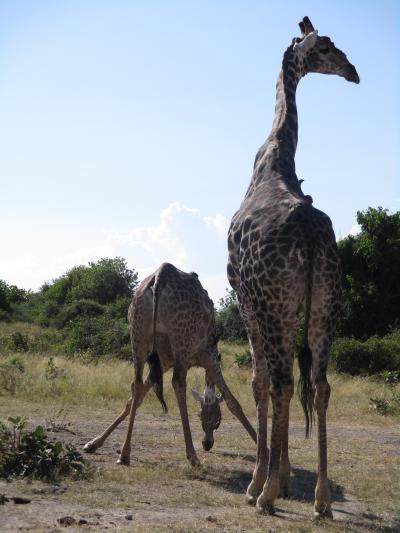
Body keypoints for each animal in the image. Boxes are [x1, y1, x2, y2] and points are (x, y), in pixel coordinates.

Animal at [84, 262, 256, 466]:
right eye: (217, 419)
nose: (207, 444)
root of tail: (160, 276)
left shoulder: (164, 363)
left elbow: (135, 399)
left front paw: (94, 443)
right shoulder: (208, 356)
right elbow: (233, 402)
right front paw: (264, 447)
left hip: (138, 336)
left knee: (137, 384)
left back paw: (125, 454)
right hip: (180, 341)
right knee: (178, 383)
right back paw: (193, 457)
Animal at [227, 16, 360, 516]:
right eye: (325, 45)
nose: (353, 71)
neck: (275, 158)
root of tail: (312, 238)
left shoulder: (245, 298)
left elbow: (260, 381)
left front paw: (265, 481)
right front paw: (282, 477)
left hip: (275, 306)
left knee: (282, 382)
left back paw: (263, 494)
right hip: (326, 306)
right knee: (320, 385)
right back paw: (321, 499)